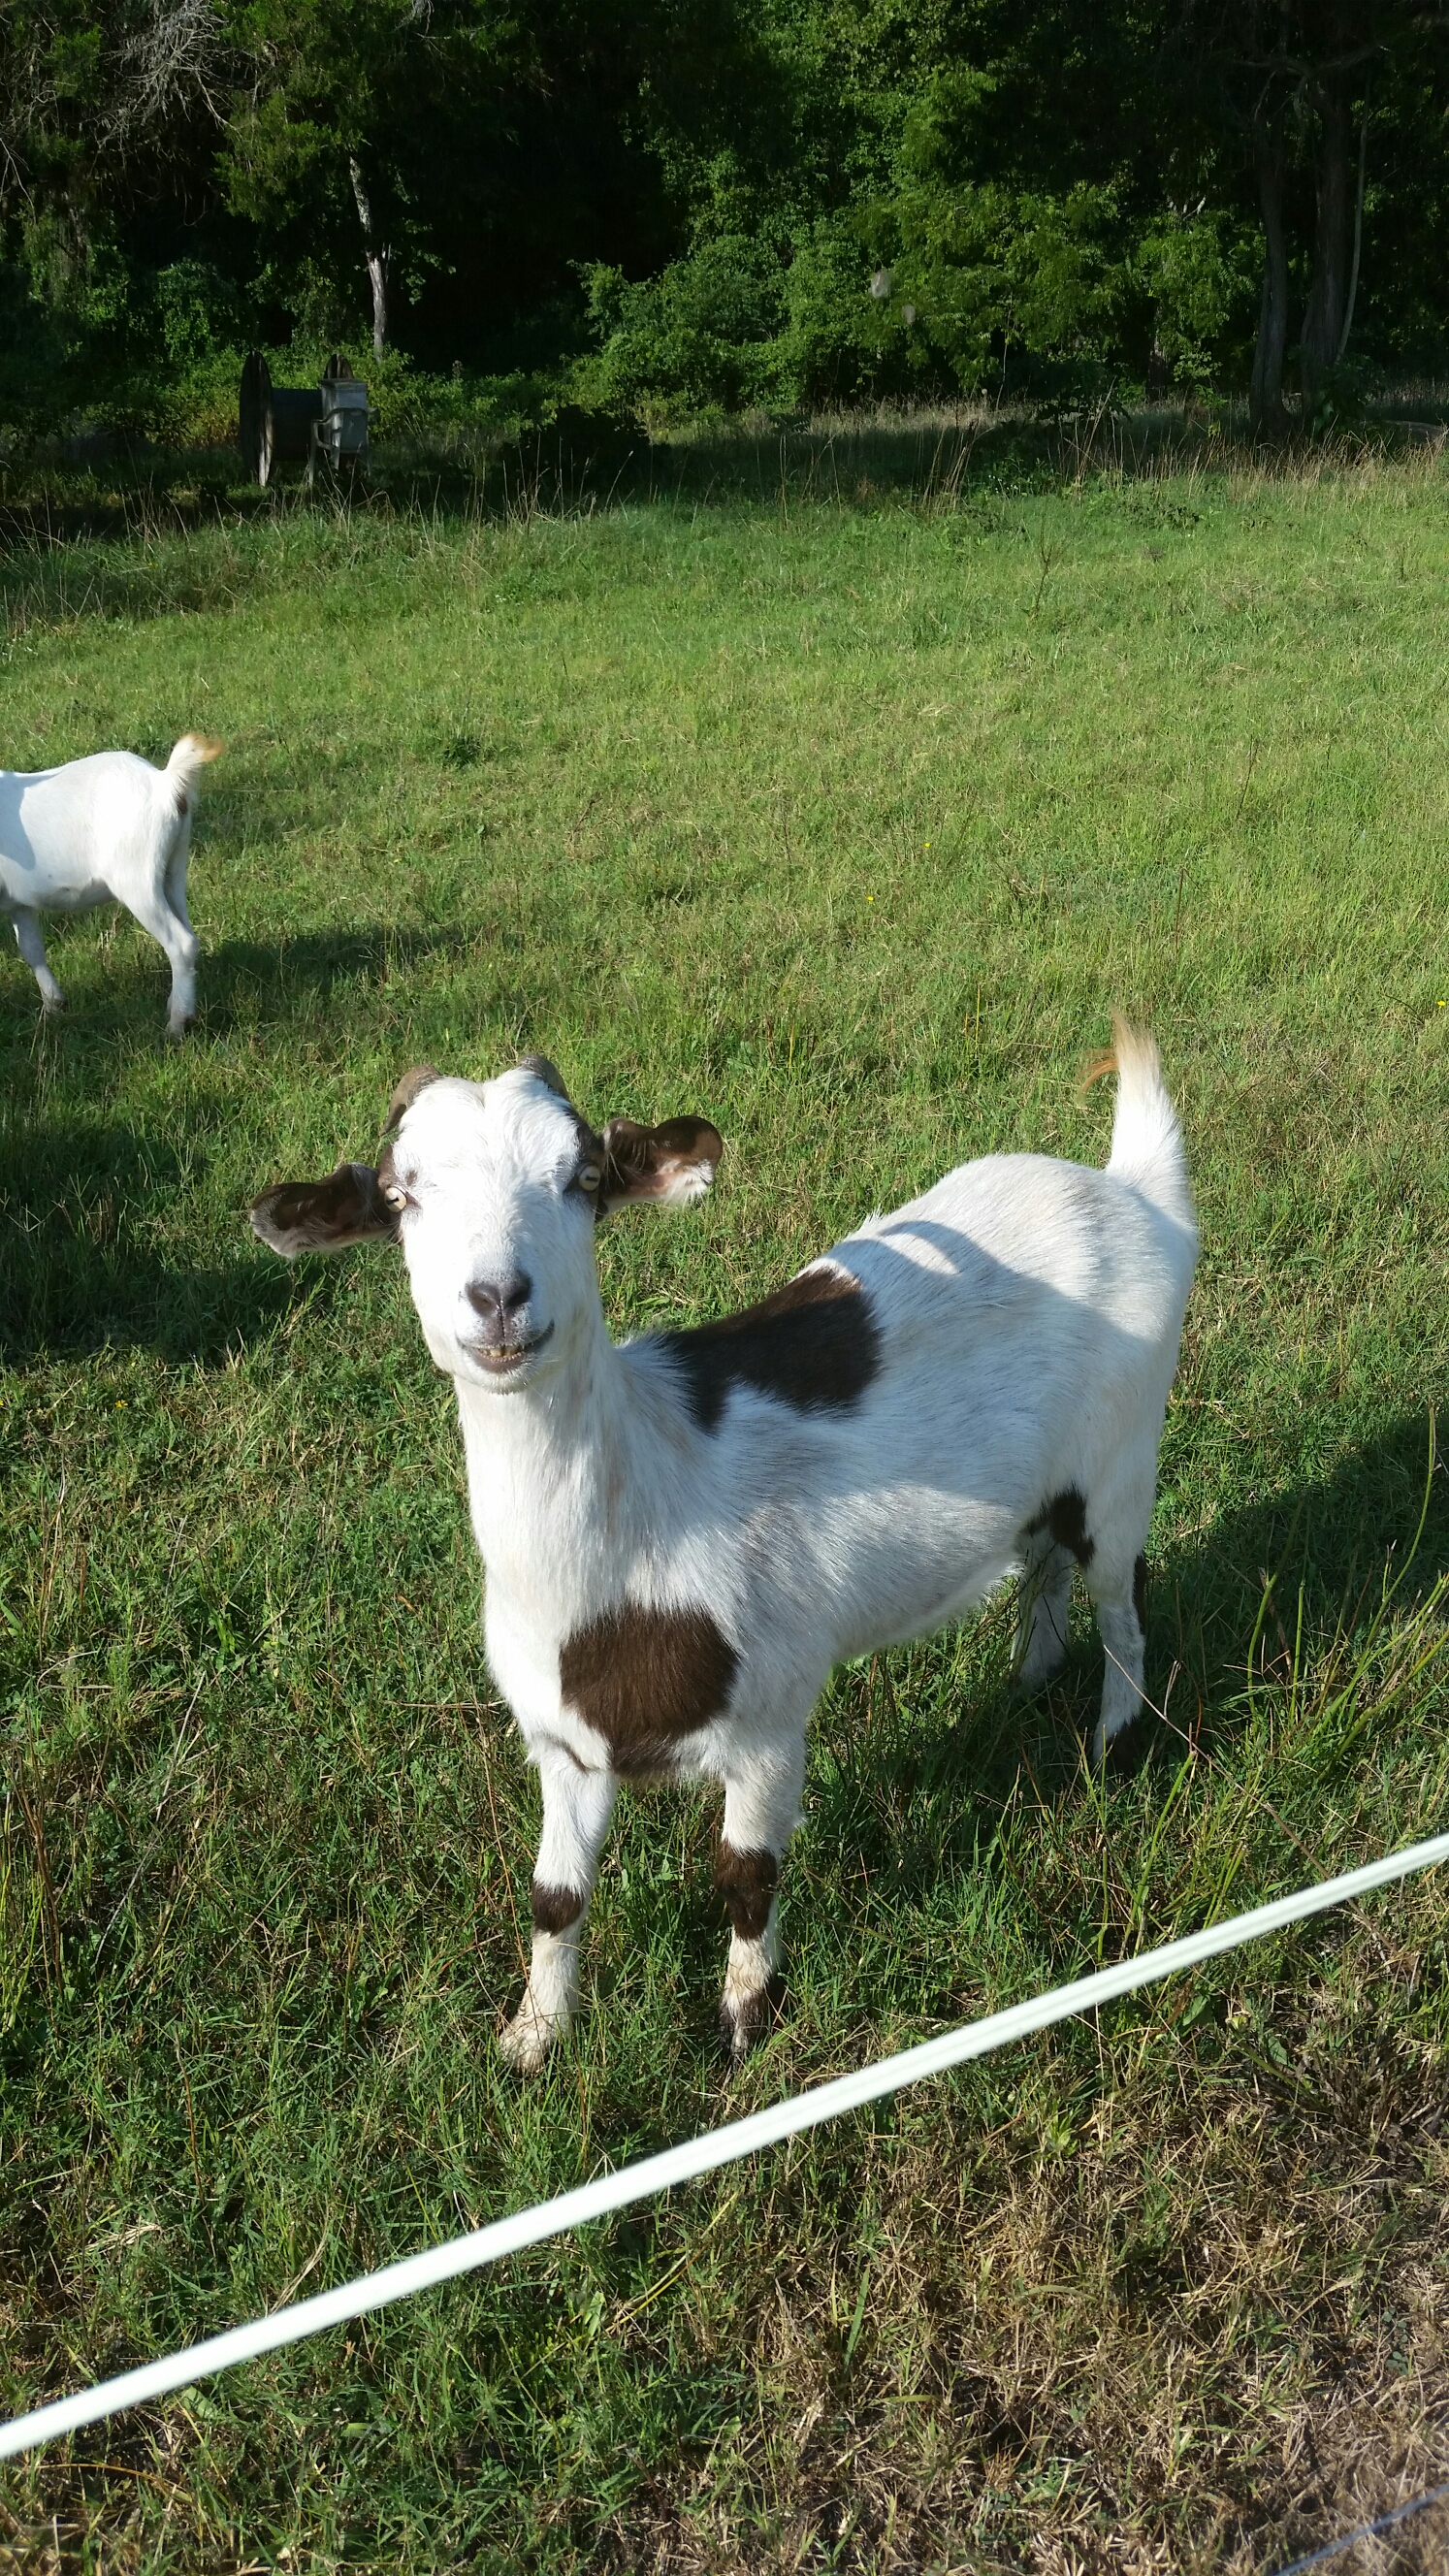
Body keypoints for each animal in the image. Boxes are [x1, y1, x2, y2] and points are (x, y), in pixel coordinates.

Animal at [1, 734, 223, 1035]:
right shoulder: (19, 902)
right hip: (173, 870)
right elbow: (31, 948)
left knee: (181, 943)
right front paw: (53, 1009)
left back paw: (176, 1025)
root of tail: (165, 783)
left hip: (136, 878)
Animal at [250, 1023, 1198, 2068]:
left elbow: (746, 1875)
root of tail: (1136, 1192)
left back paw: (1114, 1742)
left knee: (1125, 1597)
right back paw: (1031, 1677)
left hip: (1123, 1454)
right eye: (399, 1194)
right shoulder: (565, 1747)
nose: (497, 1297)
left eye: (583, 1176)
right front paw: (532, 2037)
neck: (637, 1531)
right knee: (1043, 1565)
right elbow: (555, 1897)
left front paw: (745, 2021)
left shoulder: (770, 1719)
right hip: (1047, 1481)